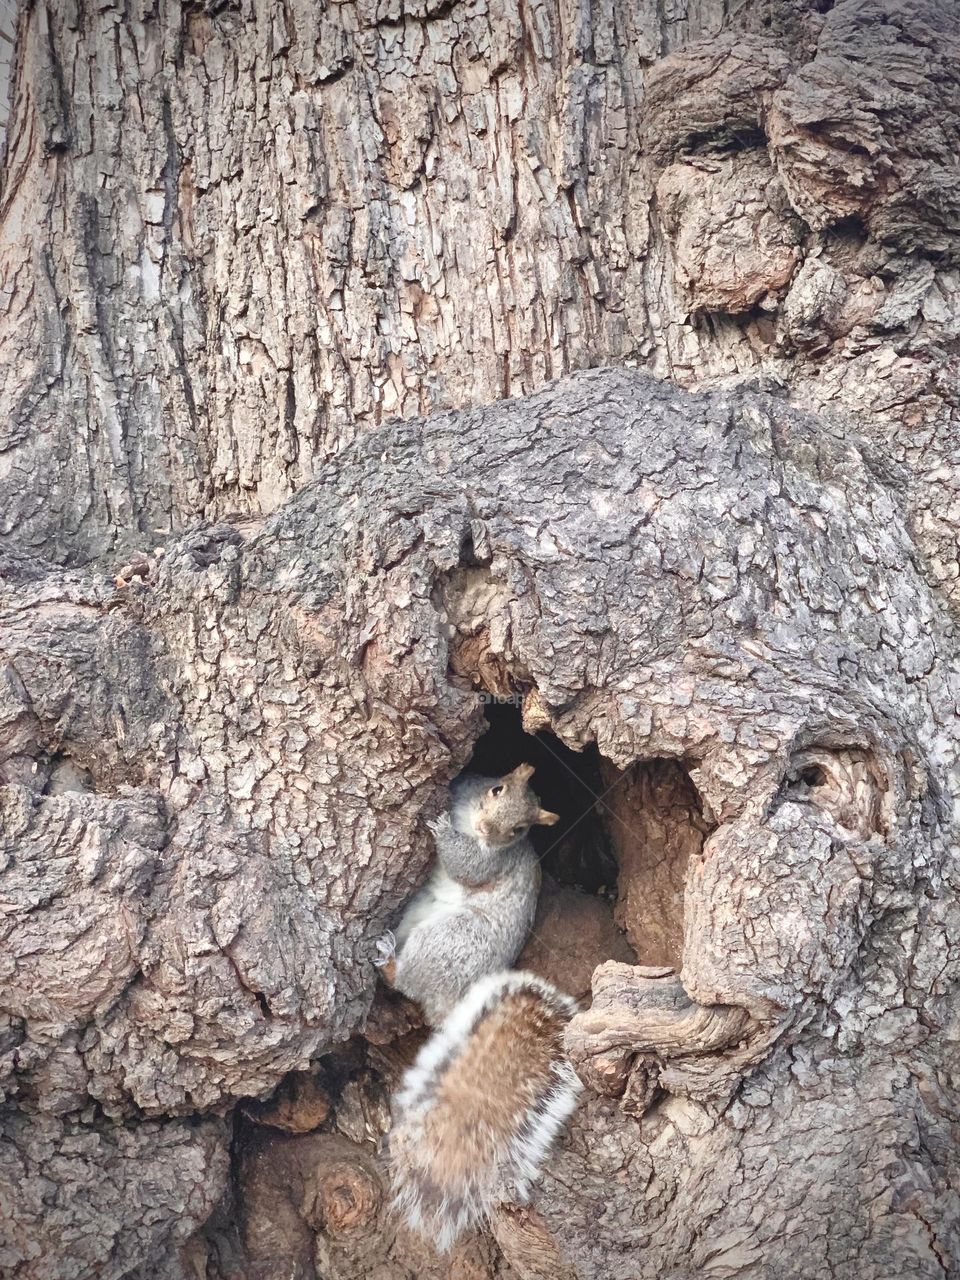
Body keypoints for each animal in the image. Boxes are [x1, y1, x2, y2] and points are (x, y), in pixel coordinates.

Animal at [376, 757, 586, 1249]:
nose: (486, 828)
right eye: (496, 788)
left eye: (520, 830)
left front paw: (439, 829)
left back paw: (390, 963)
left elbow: (468, 863)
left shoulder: (494, 859)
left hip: (450, 940)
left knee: (408, 981)